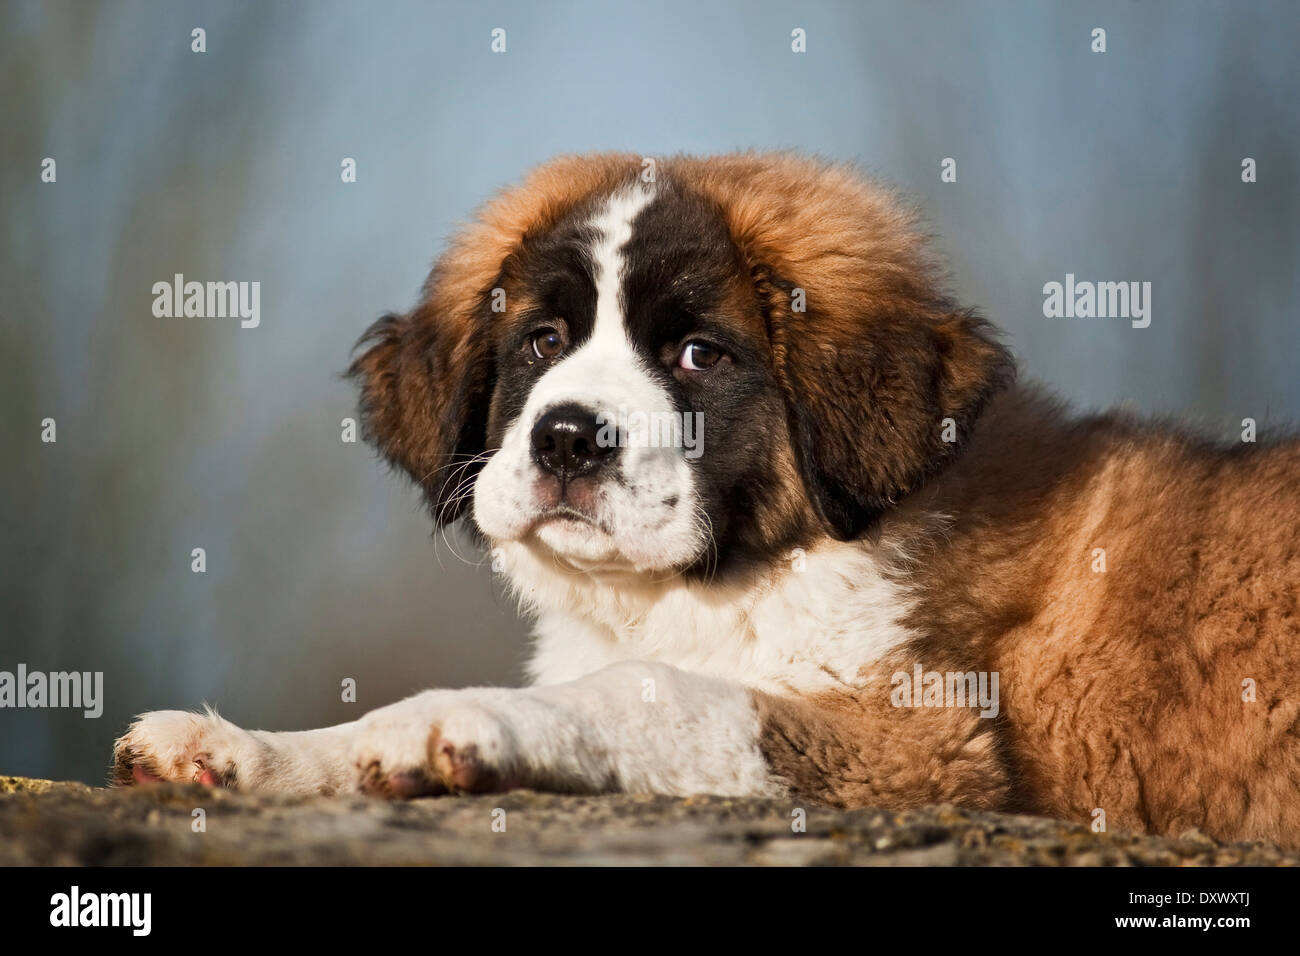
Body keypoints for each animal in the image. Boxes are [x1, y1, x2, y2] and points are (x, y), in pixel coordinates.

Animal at [114, 153, 1300, 848]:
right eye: (540, 341)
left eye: (698, 354)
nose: (566, 436)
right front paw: (252, 751)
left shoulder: (924, 745)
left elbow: (653, 690)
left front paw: (449, 717)